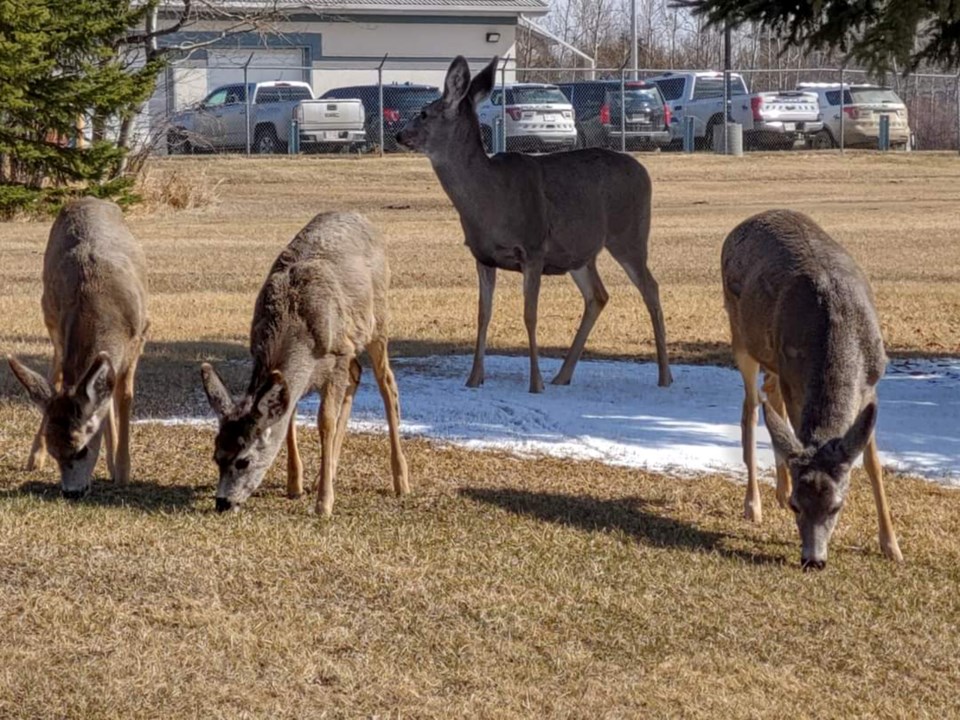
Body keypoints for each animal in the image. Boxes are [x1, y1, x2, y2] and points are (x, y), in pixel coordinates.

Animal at [6, 197, 148, 500]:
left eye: (82, 449)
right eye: (55, 451)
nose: (71, 492)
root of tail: (87, 198)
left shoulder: (141, 334)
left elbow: (123, 396)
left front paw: (122, 470)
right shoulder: (61, 328)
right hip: (49, 315)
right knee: (56, 376)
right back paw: (34, 458)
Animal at [201, 211, 410, 516]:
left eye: (243, 460)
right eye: (216, 455)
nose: (222, 503)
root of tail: (361, 217)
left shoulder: (337, 352)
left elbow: (325, 421)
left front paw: (324, 503)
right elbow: (289, 417)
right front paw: (295, 485)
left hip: (378, 320)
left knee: (387, 383)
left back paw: (401, 481)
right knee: (357, 374)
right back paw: (327, 472)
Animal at [394, 56, 672, 394]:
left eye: (423, 113)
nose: (399, 135)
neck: (490, 199)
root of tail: (644, 172)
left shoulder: (534, 247)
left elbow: (530, 315)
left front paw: (535, 383)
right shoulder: (482, 256)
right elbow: (483, 315)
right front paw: (474, 379)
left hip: (629, 234)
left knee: (651, 288)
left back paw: (664, 377)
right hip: (580, 252)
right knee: (598, 295)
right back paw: (563, 375)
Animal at [724, 208, 904, 568]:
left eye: (837, 505)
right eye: (799, 505)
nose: (813, 560)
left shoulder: (872, 383)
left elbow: (873, 464)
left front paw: (891, 545)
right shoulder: (795, 378)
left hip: (775, 361)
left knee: (769, 396)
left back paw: (778, 489)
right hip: (742, 338)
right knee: (751, 408)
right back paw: (754, 504)